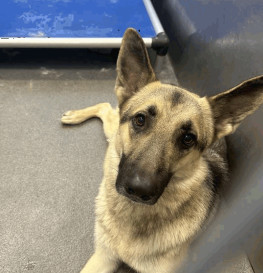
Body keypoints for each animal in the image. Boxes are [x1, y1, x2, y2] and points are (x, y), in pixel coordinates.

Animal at [60, 28, 263, 272]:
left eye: (188, 138)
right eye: (140, 120)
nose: (139, 189)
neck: (134, 214)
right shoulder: (103, 257)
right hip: (112, 130)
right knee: (106, 107)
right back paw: (74, 116)